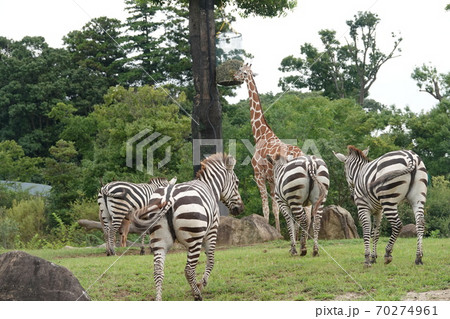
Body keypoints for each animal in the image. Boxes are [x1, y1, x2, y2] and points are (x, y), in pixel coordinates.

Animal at [132, 154, 244, 302]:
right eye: (237, 182)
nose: (240, 209)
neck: (210, 187)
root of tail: (168, 195)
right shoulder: (211, 231)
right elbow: (211, 260)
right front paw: (201, 284)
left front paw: (196, 285)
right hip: (194, 240)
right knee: (189, 269)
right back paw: (198, 295)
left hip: (159, 240)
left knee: (158, 271)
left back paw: (159, 298)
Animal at [236, 63, 302, 232]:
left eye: (241, 71)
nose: (234, 76)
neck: (260, 134)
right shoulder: (272, 180)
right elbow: (275, 208)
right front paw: (277, 232)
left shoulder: (258, 175)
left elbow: (265, 207)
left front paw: (264, 229)